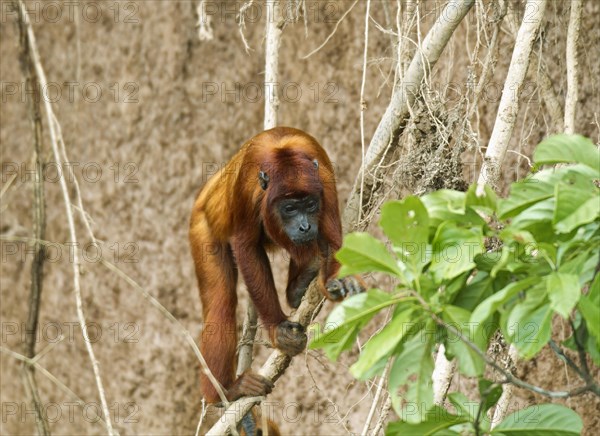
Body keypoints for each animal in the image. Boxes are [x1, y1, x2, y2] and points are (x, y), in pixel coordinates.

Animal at [190, 125, 364, 402]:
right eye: (290, 208)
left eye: (310, 205)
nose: (305, 226)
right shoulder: (247, 185)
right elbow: (246, 246)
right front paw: (277, 329)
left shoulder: (324, 182)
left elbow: (333, 238)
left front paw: (339, 279)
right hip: (201, 225)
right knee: (221, 304)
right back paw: (226, 391)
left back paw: (300, 286)